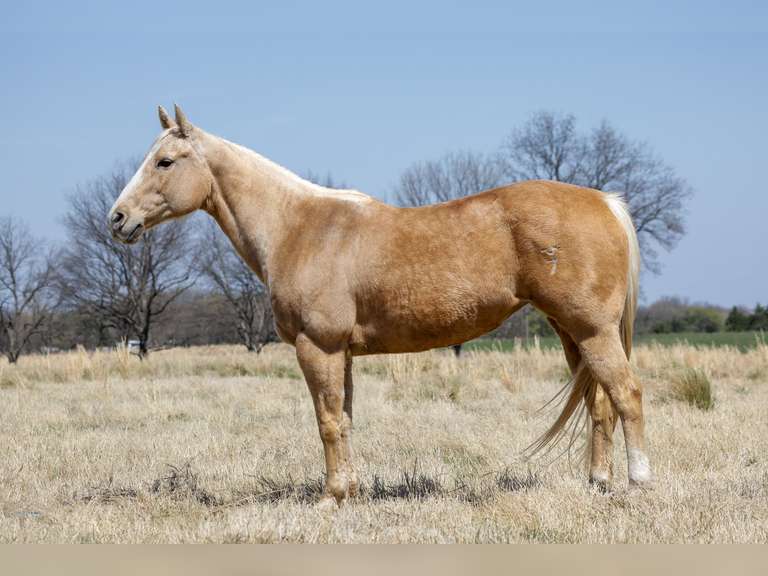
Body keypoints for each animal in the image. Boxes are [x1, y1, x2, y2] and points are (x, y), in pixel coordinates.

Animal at [108, 105, 651, 507]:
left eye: (165, 162)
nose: (117, 219)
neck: (298, 228)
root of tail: (605, 202)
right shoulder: (342, 354)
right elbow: (344, 419)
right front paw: (348, 492)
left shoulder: (318, 348)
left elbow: (327, 423)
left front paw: (330, 498)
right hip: (572, 332)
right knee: (599, 402)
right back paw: (598, 484)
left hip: (593, 331)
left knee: (626, 395)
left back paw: (638, 483)